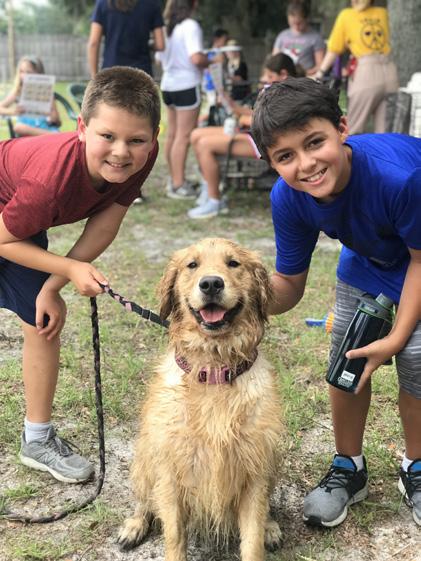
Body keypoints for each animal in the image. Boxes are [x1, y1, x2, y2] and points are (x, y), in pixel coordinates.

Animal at [117, 238, 283, 561]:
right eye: (192, 265)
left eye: (233, 263)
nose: (211, 284)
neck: (214, 371)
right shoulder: (170, 471)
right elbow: (174, 536)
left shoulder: (254, 471)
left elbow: (253, 539)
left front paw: (263, 532)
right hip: (145, 459)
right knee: (144, 499)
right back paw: (134, 524)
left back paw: (271, 526)